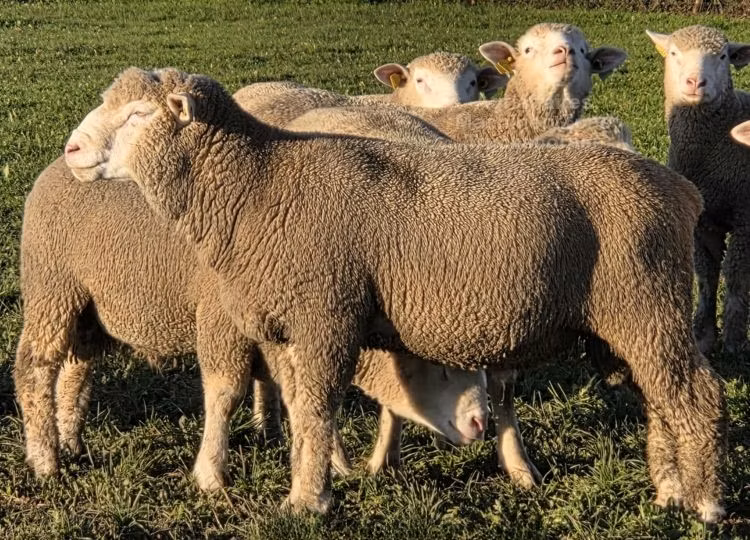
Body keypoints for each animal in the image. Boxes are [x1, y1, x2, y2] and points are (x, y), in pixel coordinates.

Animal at [15, 156, 489, 490]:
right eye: (441, 367)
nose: (480, 424)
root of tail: (57, 166)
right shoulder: (221, 322)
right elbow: (226, 393)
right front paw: (211, 474)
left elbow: (297, 396)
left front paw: (326, 459)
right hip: (51, 288)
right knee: (35, 369)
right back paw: (45, 460)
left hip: (87, 310)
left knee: (76, 371)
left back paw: (70, 442)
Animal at [647, 25, 750, 354]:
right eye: (674, 53)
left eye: (723, 56)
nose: (695, 82)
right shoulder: (701, 222)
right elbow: (706, 275)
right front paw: (704, 335)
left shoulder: (745, 217)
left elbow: (736, 276)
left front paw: (733, 338)